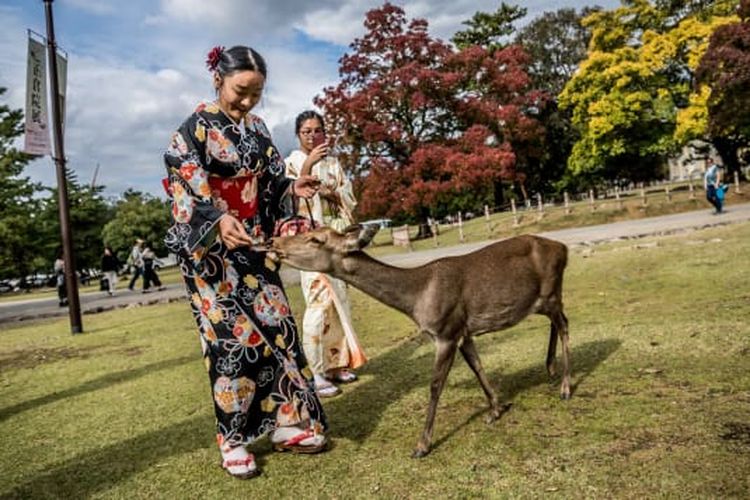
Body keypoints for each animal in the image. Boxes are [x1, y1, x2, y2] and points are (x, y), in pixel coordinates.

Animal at [268, 226, 568, 458]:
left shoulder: (446, 331)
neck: (416, 301)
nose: (274, 242)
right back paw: (550, 368)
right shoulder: (463, 331)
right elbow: (477, 366)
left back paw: (565, 387)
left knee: (564, 324)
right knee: (557, 322)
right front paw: (496, 409)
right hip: (543, 300)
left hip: (551, 291)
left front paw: (422, 445)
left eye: (315, 239)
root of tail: (563, 248)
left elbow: (435, 386)